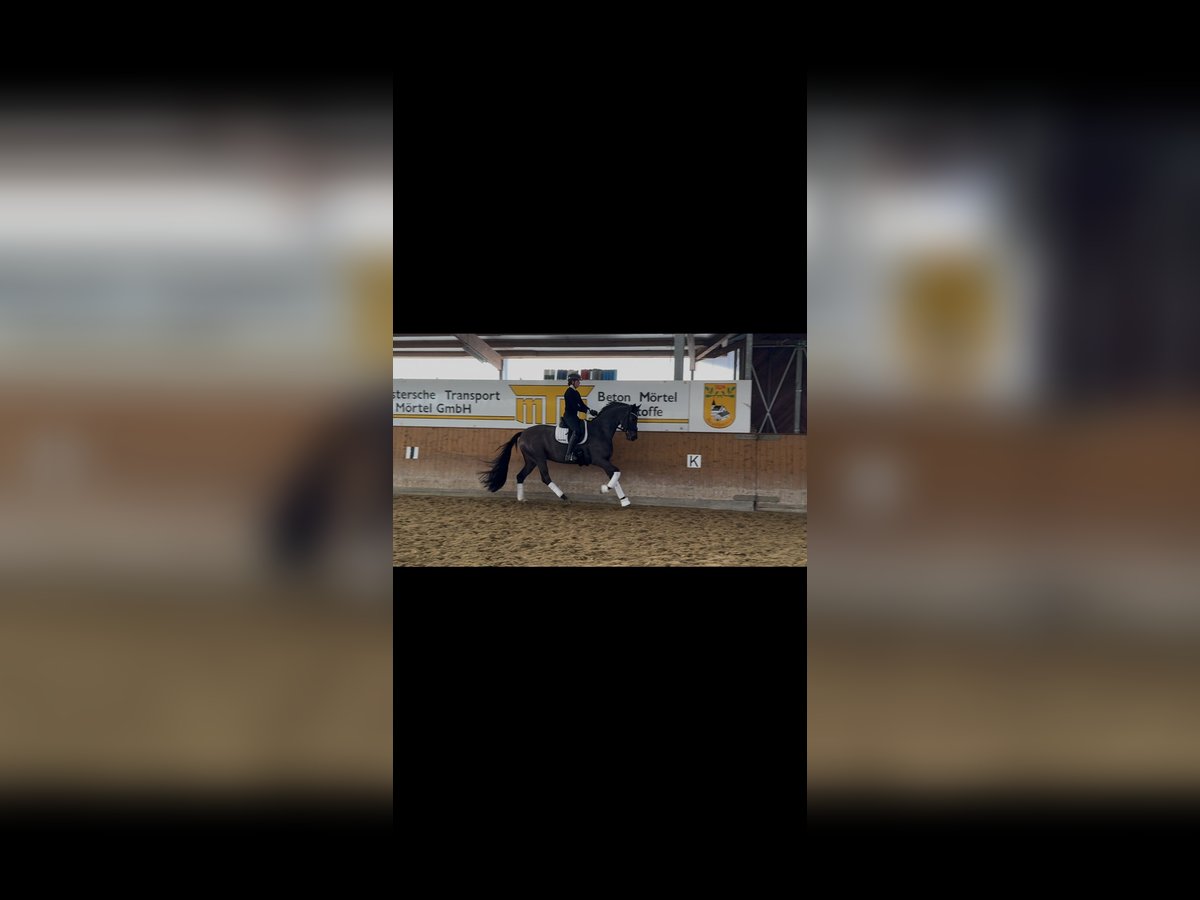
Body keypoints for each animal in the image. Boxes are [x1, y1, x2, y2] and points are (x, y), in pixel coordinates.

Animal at [478, 402, 640, 507]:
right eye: (633, 418)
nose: (633, 437)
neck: (601, 430)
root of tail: (523, 433)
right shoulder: (599, 460)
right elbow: (617, 472)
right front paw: (604, 489)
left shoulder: (605, 461)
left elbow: (615, 475)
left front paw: (624, 500)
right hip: (539, 458)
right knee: (545, 477)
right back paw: (564, 497)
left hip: (531, 460)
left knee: (520, 476)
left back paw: (521, 499)